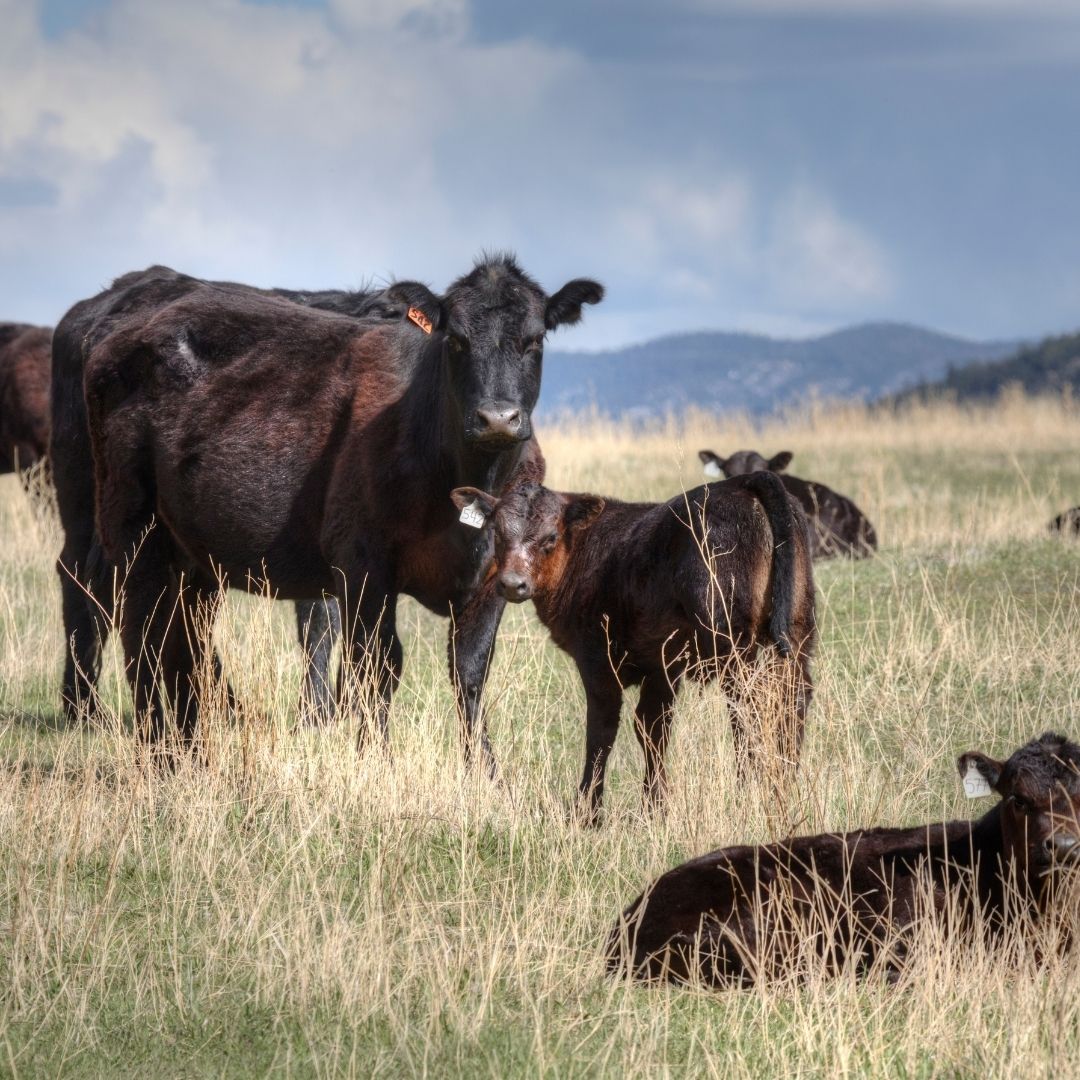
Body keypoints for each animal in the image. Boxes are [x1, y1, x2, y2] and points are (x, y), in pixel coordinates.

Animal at [449, 473, 816, 821]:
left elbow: (601, 731)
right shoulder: (663, 664)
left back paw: (750, 790)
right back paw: (785, 782)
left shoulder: (597, 658)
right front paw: (654, 807)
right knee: (793, 699)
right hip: (796, 630)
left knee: (750, 705)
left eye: (550, 538)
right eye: (497, 534)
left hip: (731, 639)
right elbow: (653, 727)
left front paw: (587, 812)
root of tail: (743, 482)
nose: (512, 584)